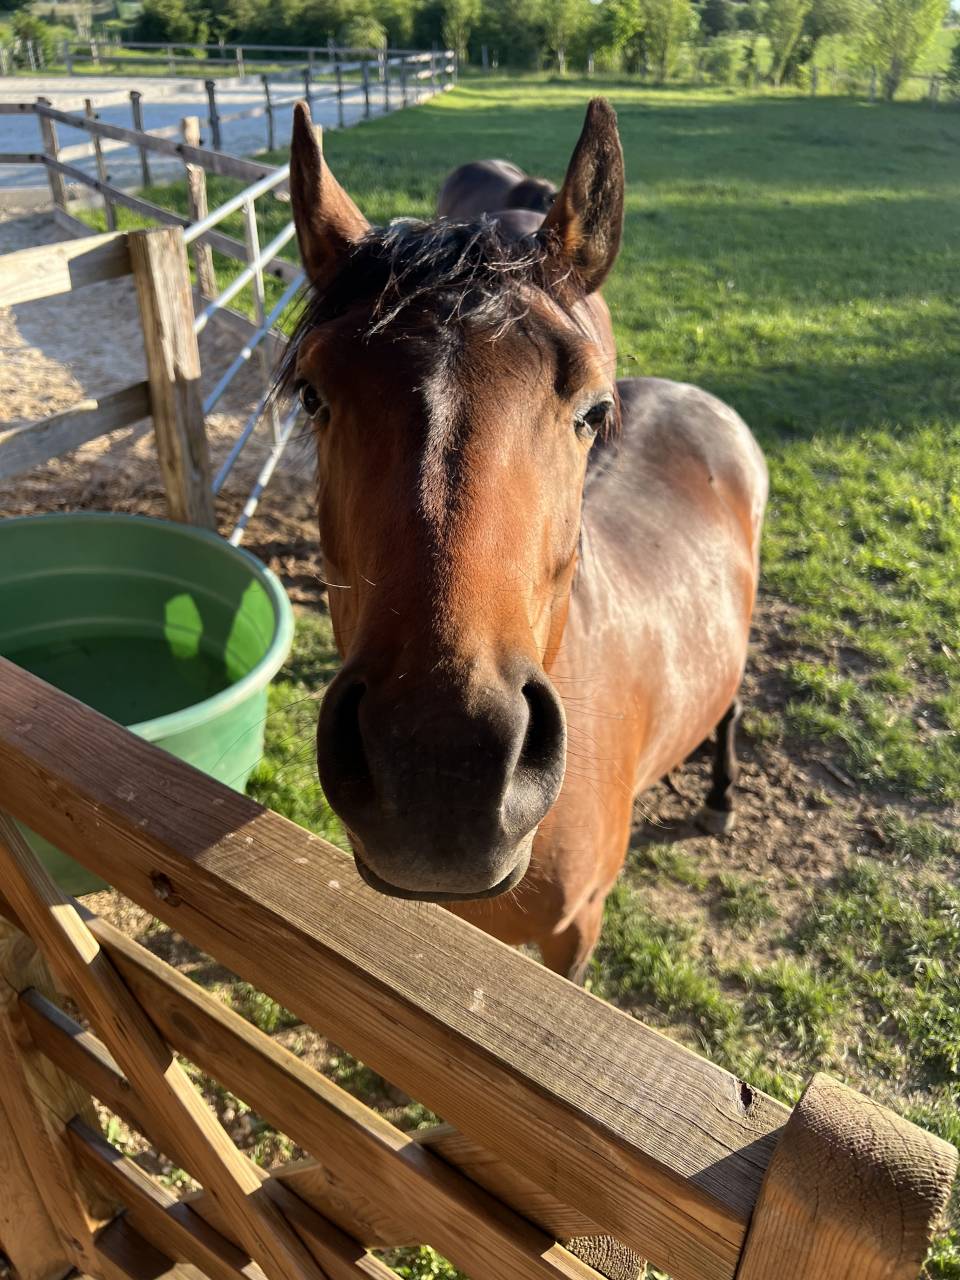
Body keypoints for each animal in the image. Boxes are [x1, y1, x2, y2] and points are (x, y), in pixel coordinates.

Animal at [284, 98, 768, 981]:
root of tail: (701, 400)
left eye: (592, 408)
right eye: (311, 394)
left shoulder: (576, 933)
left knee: (733, 703)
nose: (443, 764)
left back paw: (719, 796)